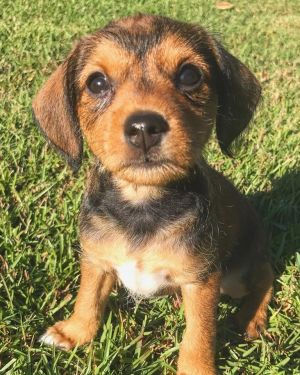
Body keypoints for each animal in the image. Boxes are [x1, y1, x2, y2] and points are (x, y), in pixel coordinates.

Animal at [33, 14, 274, 375]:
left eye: (190, 75)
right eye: (96, 83)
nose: (144, 127)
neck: (142, 203)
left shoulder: (202, 282)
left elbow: (199, 335)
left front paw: (197, 368)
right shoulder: (97, 260)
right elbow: (87, 298)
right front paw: (74, 332)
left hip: (234, 277)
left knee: (266, 276)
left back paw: (251, 318)